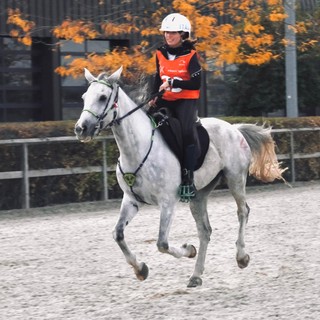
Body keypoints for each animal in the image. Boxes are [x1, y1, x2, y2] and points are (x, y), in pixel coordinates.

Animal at [74, 67, 284, 288]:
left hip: (235, 178)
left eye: (102, 97)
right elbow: (118, 234)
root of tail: (234, 128)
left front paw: (188, 250)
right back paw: (196, 275)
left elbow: (162, 243)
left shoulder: (167, 202)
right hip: (199, 195)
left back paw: (241, 256)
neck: (138, 148)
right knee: (205, 230)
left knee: (243, 211)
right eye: (84, 97)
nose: (81, 129)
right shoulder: (131, 200)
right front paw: (141, 269)